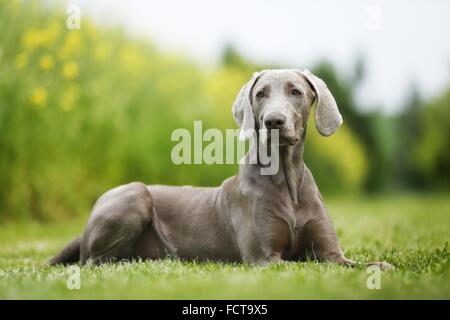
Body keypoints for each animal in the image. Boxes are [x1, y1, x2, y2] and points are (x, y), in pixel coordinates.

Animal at [51, 70, 392, 270]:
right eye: (260, 94)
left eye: (296, 92)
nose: (274, 121)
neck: (287, 180)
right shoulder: (264, 259)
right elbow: (302, 264)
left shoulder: (332, 253)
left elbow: (361, 264)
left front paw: (381, 267)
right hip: (134, 194)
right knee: (92, 262)